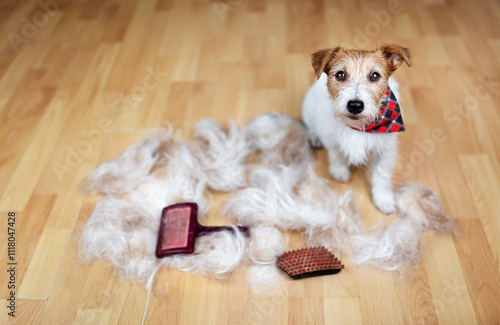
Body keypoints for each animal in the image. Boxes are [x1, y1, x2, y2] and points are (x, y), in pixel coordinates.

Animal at [300, 44, 410, 214]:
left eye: (375, 76)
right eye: (340, 74)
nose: (355, 105)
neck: (360, 127)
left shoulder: (385, 149)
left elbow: (382, 174)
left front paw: (383, 199)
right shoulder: (331, 138)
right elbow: (336, 155)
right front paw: (340, 171)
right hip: (309, 110)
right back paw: (314, 137)